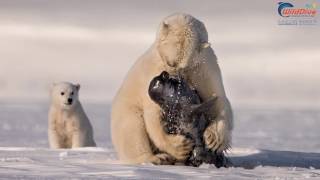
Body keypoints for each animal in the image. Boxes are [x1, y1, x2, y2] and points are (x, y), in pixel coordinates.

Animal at [110, 13, 232, 165]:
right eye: (170, 63)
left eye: (183, 66)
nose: (172, 76)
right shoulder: (154, 68)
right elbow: (153, 114)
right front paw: (179, 147)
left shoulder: (204, 66)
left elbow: (217, 96)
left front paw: (214, 139)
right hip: (125, 110)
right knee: (132, 129)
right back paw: (156, 158)